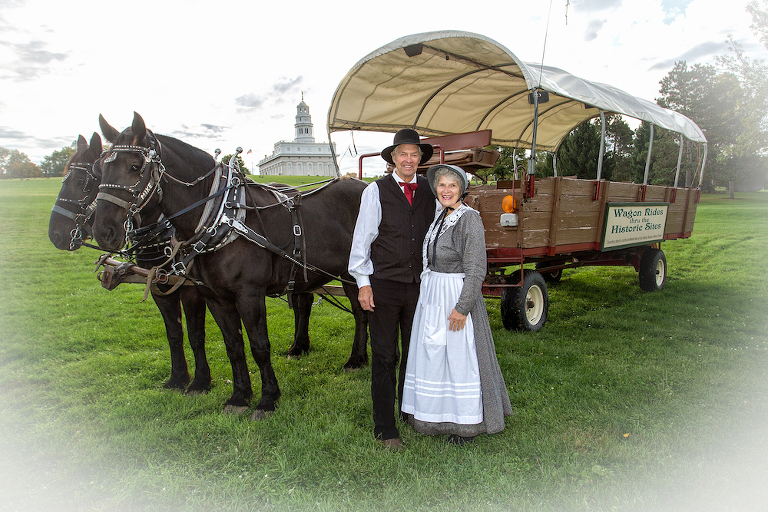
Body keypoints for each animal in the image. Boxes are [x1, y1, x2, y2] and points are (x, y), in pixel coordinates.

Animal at [48, 131, 212, 392]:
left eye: (84, 181)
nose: (55, 234)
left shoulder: (191, 289)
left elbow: (196, 334)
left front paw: (201, 381)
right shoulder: (158, 286)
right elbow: (174, 333)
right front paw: (178, 378)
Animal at [93, 112, 368, 416]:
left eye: (135, 166)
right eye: (99, 169)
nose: (103, 230)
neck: (222, 216)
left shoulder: (248, 293)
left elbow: (259, 345)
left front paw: (268, 398)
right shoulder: (213, 296)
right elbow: (233, 345)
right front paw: (239, 396)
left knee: (360, 313)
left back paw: (356, 359)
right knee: (358, 312)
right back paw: (355, 358)